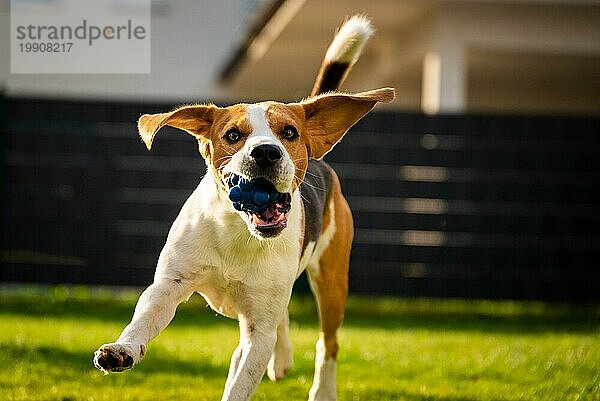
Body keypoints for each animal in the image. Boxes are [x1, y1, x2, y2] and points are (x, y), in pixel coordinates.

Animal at [92, 15, 394, 400]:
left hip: (331, 282)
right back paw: (281, 360)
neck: (239, 230)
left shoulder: (259, 330)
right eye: (233, 135)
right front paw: (122, 349)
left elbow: (243, 380)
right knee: (278, 324)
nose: (265, 151)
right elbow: (144, 319)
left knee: (327, 342)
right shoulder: (170, 285)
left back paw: (322, 389)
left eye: (289, 133)